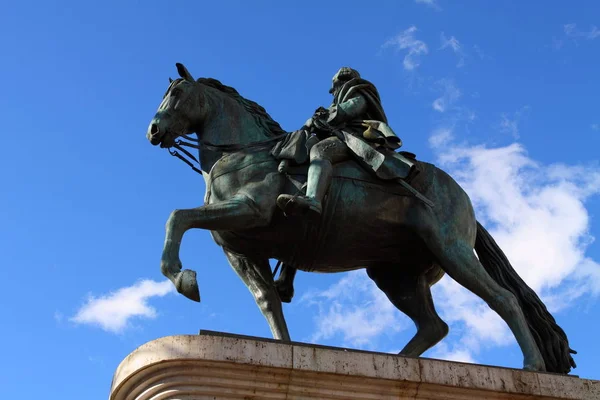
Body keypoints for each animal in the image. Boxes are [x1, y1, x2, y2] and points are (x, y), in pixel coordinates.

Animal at [145, 63, 576, 376]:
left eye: (177, 94)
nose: (153, 129)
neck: (242, 151)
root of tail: (463, 197)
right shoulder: (241, 249)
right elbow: (269, 301)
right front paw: (281, 349)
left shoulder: (251, 210)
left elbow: (176, 217)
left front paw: (182, 277)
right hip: (395, 274)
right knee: (434, 325)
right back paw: (396, 363)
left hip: (451, 250)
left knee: (503, 299)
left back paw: (533, 367)